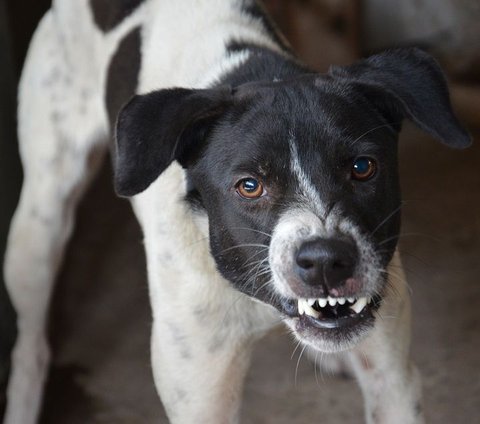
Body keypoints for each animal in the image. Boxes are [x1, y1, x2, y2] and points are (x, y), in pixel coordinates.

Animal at [1, 0, 470, 424]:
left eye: (362, 167)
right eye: (249, 185)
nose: (325, 261)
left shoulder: (393, 381)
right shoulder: (201, 399)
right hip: (40, 224)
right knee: (31, 343)